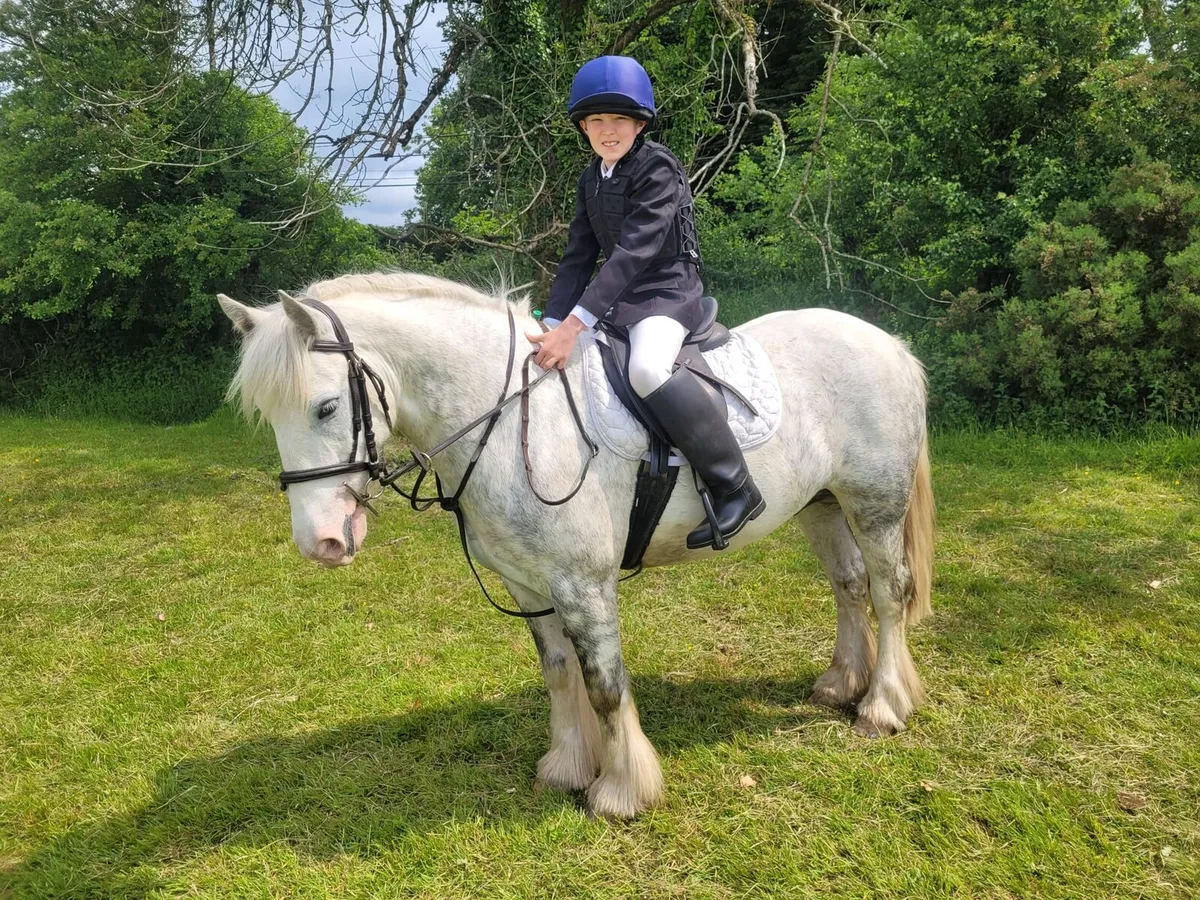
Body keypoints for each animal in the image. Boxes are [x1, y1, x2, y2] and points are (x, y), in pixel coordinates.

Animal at [217, 272, 934, 820]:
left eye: (326, 407)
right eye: (269, 416)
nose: (321, 541)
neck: (510, 417)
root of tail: (888, 343)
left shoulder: (583, 586)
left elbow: (604, 685)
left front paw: (621, 791)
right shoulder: (530, 584)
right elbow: (560, 674)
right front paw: (566, 766)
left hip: (874, 505)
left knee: (888, 592)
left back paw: (882, 705)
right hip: (822, 506)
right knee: (848, 587)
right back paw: (841, 683)